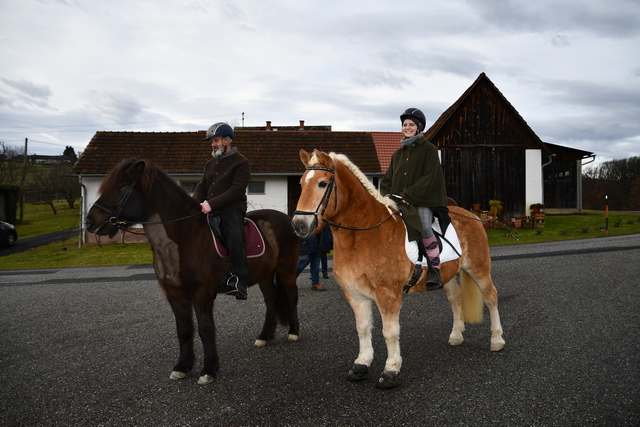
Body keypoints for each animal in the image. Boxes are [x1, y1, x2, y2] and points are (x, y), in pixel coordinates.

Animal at [85, 159, 302, 386]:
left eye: (120, 187)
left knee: (291, 296)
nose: (90, 221)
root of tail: (285, 219)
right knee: (271, 300)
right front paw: (182, 367)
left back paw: (293, 332)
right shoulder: (175, 293)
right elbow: (184, 330)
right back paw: (264, 336)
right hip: (265, 274)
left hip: (286, 269)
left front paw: (209, 370)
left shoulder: (202, 292)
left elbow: (206, 329)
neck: (184, 237)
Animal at [292, 150, 504, 392]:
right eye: (301, 183)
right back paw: (456, 335)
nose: (299, 225)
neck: (362, 234)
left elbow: (389, 333)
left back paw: (497, 340)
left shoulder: (388, 295)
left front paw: (391, 371)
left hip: (479, 268)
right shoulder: (355, 295)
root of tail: (474, 216)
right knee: (456, 298)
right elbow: (362, 329)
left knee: (491, 297)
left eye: (322, 183)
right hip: (448, 275)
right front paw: (361, 364)